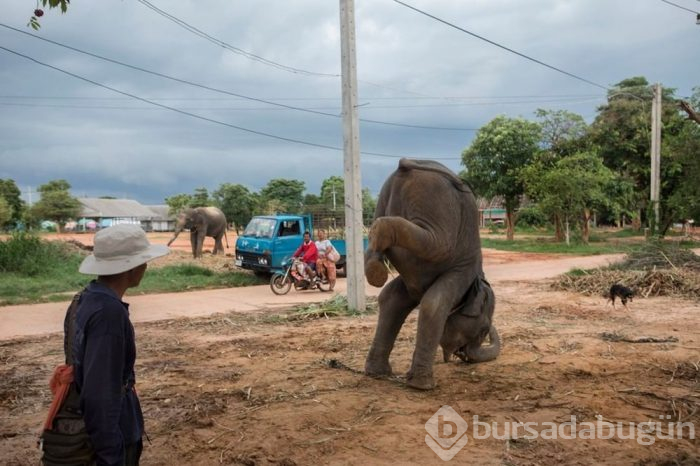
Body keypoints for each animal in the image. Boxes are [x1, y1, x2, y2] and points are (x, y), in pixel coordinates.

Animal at [364, 157, 500, 390]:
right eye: (483, 329)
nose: (463, 357)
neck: (479, 278)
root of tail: (407, 163)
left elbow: (391, 300)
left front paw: (377, 373)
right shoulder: (461, 271)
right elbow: (434, 304)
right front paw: (423, 386)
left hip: (384, 197)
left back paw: (375, 269)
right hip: (437, 206)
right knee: (435, 243)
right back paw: (381, 235)